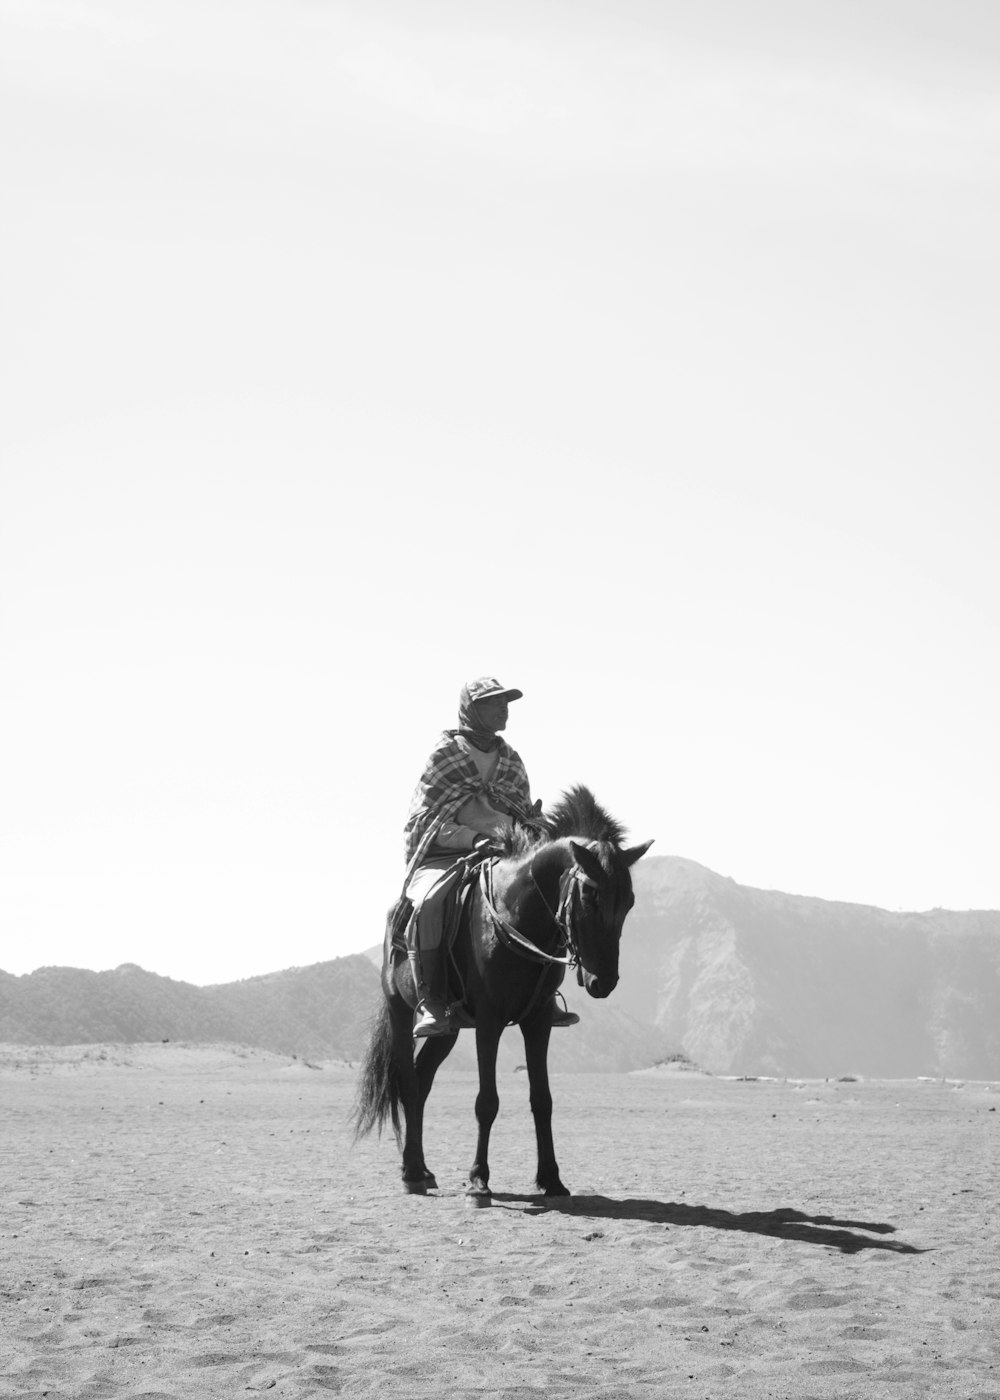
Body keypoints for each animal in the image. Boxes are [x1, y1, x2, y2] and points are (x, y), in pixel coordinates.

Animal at [354, 789, 649, 1204]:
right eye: (590, 895)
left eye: (629, 901)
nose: (603, 981)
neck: (516, 915)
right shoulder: (489, 1021)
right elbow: (486, 1101)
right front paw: (478, 1181)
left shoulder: (538, 1020)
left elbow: (542, 1100)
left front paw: (551, 1179)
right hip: (400, 1010)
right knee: (409, 1085)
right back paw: (411, 1172)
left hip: (448, 1029)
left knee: (423, 1079)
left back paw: (425, 1170)